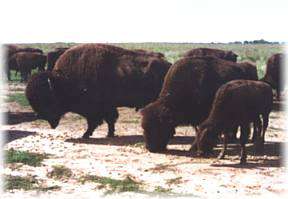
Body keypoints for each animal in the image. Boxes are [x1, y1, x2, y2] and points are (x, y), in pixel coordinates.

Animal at [25, 44, 171, 138]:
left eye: (47, 98)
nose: (39, 115)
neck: (63, 81)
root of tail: (168, 65)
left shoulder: (96, 109)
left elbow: (96, 121)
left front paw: (86, 134)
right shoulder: (107, 107)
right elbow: (109, 120)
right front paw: (109, 134)